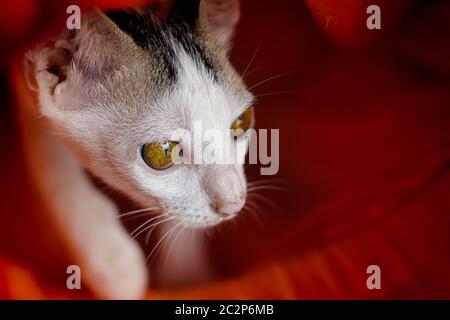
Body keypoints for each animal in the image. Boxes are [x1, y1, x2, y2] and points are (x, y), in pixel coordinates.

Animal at [21, 0, 253, 300]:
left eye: (242, 122)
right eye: (162, 152)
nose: (234, 204)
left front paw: (185, 273)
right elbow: (49, 154)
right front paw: (111, 259)